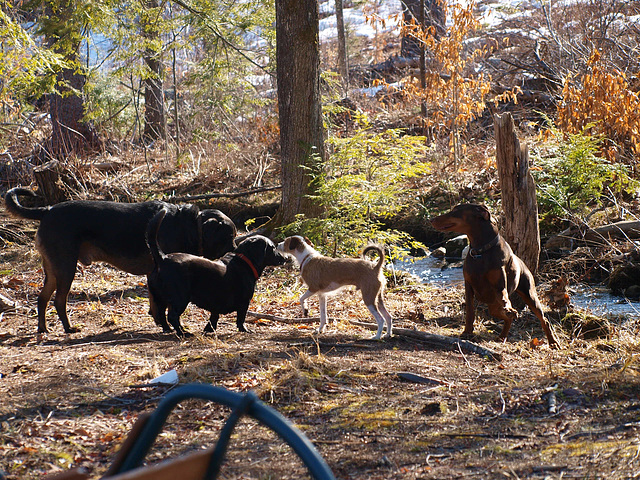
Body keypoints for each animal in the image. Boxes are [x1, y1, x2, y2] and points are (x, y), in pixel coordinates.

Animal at [5, 188, 236, 334]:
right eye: (230, 237)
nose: (235, 249)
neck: (189, 225)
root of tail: (47, 210)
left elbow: (155, 305)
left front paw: (160, 324)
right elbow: (161, 307)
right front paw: (166, 326)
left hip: (52, 270)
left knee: (42, 299)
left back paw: (43, 329)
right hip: (66, 268)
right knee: (59, 301)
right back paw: (68, 328)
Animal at [146, 208, 286, 336]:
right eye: (272, 248)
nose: (285, 258)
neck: (244, 261)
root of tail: (163, 258)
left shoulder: (216, 303)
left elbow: (214, 317)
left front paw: (209, 329)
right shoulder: (244, 302)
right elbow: (241, 318)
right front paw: (244, 329)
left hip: (160, 298)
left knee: (161, 315)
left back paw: (169, 329)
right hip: (180, 298)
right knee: (172, 316)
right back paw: (183, 333)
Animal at [430, 203, 560, 348]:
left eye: (455, 211)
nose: (431, 220)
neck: (481, 251)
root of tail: (523, 264)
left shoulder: (499, 285)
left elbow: (504, 297)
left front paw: (508, 307)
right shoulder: (468, 285)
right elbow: (470, 312)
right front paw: (467, 332)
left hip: (529, 294)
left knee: (543, 319)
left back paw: (553, 342)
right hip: (493, 305)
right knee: (505, 316)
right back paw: (503, 335)